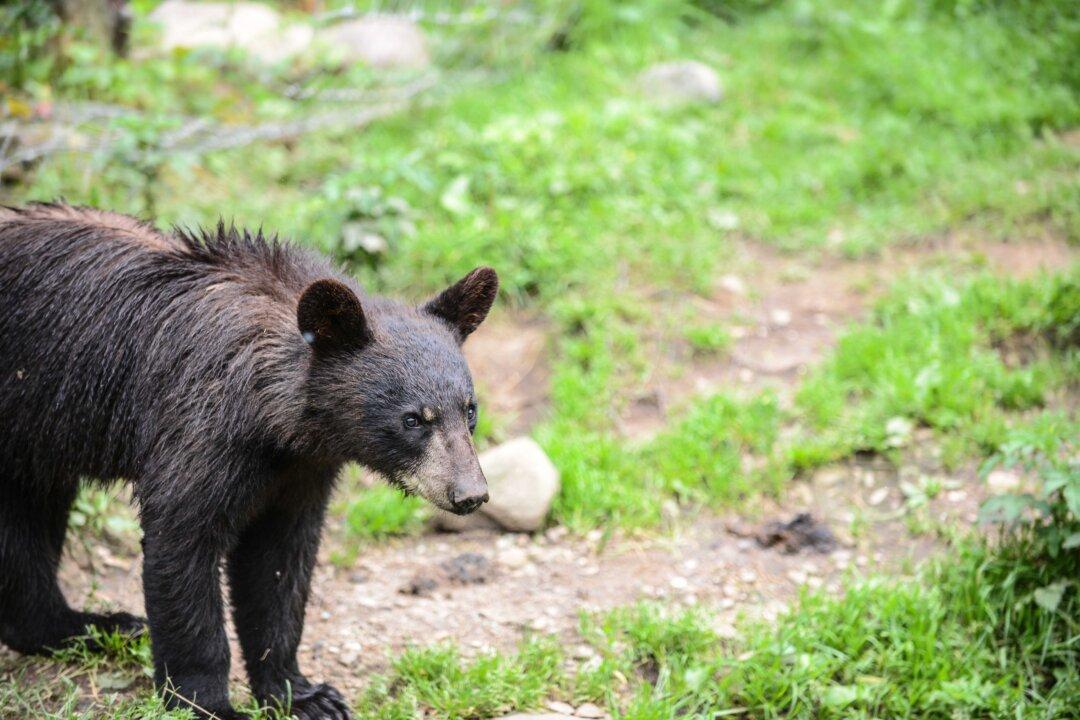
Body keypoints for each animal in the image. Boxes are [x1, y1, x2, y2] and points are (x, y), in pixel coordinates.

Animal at [0, 203, 499, 719]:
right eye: (412, 419)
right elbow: (182, 542)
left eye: (469, 409)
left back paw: (83, 626)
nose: (470, 494)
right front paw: (207, 702)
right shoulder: (198, 428)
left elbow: (277, 566)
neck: (274, 420)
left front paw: (303, 694)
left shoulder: (302, 471)